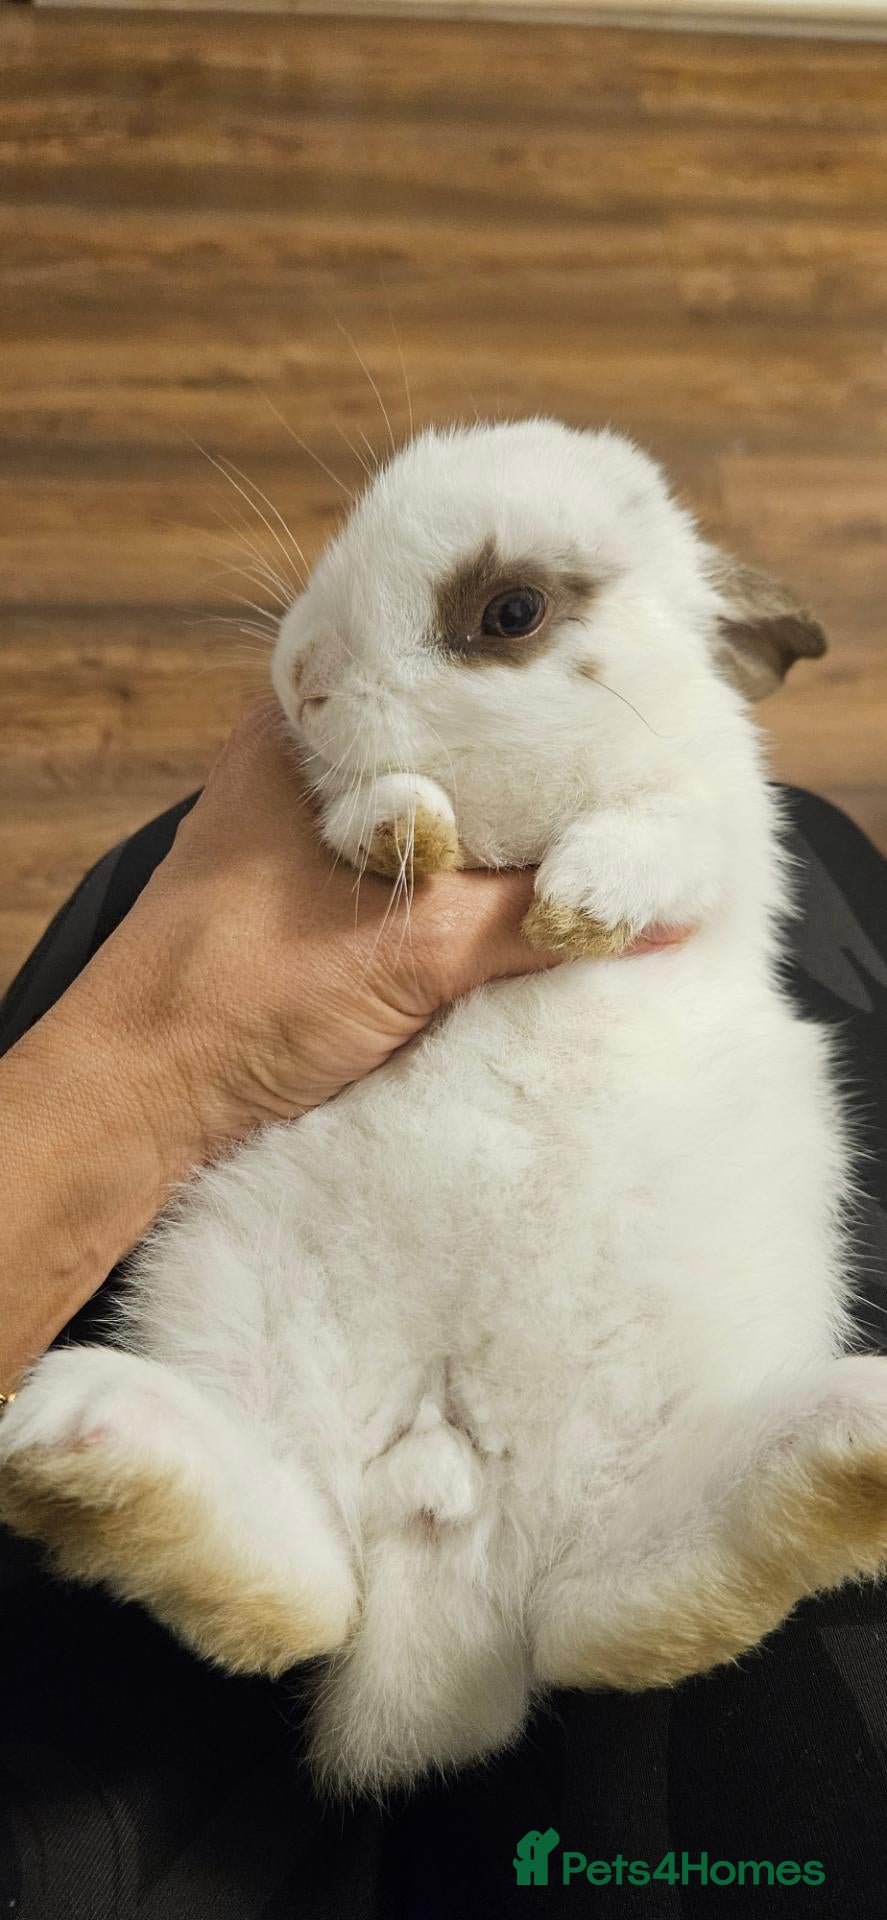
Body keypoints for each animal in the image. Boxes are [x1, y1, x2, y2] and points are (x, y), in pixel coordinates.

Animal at [1, 417, 879, 1800]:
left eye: (509, 611)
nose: (301, 676)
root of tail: (445, 1539)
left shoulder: (719, 839)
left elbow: (662, 838)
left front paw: (578, 899)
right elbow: (363, 815)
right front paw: (404, 829)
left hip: (632, 1472)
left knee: (607, 1609)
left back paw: (852, 1446)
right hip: (244, 1333)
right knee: (307, 1587)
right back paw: (85, 1435)